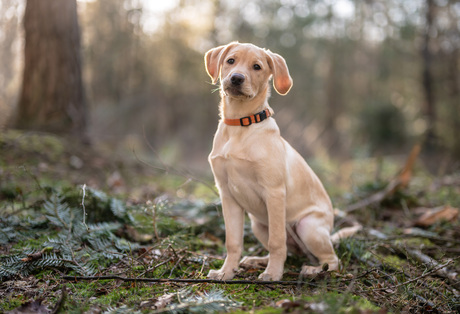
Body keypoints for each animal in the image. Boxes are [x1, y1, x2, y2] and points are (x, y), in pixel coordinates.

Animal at [205, 43, 338, 280]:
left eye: (257, 67)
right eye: (230, 61)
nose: (236, 78)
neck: (240, 124)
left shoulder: (274, 192)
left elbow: (277, 241)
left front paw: (273, 274)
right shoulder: (227, 195)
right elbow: (233, 242)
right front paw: (225, 272)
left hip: (308, 227)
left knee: (331, 260)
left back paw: (313, 270)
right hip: (258, 225)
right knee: (287, 250)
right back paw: (257, 261)